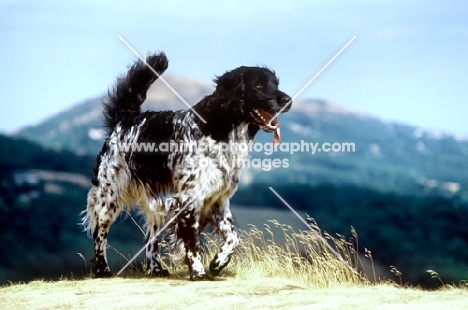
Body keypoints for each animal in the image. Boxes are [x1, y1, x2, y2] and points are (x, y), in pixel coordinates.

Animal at [81, 52, 292, 280]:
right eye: (259, 85)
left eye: (276, 84)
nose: (288, 100)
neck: (221, 131)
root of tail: (125, 119)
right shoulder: (189, 199)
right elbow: (192, 242)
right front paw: (198, 272)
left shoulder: (217, 201)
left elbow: (233, 237)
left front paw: (218, 263)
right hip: (108, 198)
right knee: (99, 234)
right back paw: (102, 269)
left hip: (156, 205)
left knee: (150, 239)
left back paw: (156, 269)